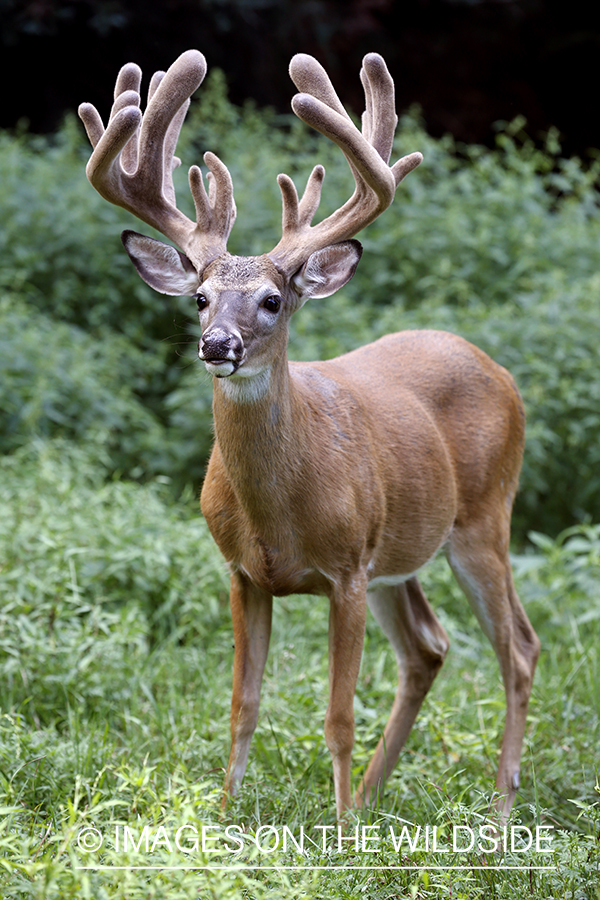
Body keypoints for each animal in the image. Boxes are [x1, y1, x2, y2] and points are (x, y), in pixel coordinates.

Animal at [77, 47, 540, 824]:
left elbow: (337, 714)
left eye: (272, 299)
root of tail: (496, 368)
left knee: (519, 648)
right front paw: (227, 814)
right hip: (401, 554)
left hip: (484, 519)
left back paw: (497, 810)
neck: (278, 514)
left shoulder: (346, 571)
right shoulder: (242, 573)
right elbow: (242, 703)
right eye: (200, 297)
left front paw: (340, 828)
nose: (217, 345)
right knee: (430, 647)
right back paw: (377, 795)